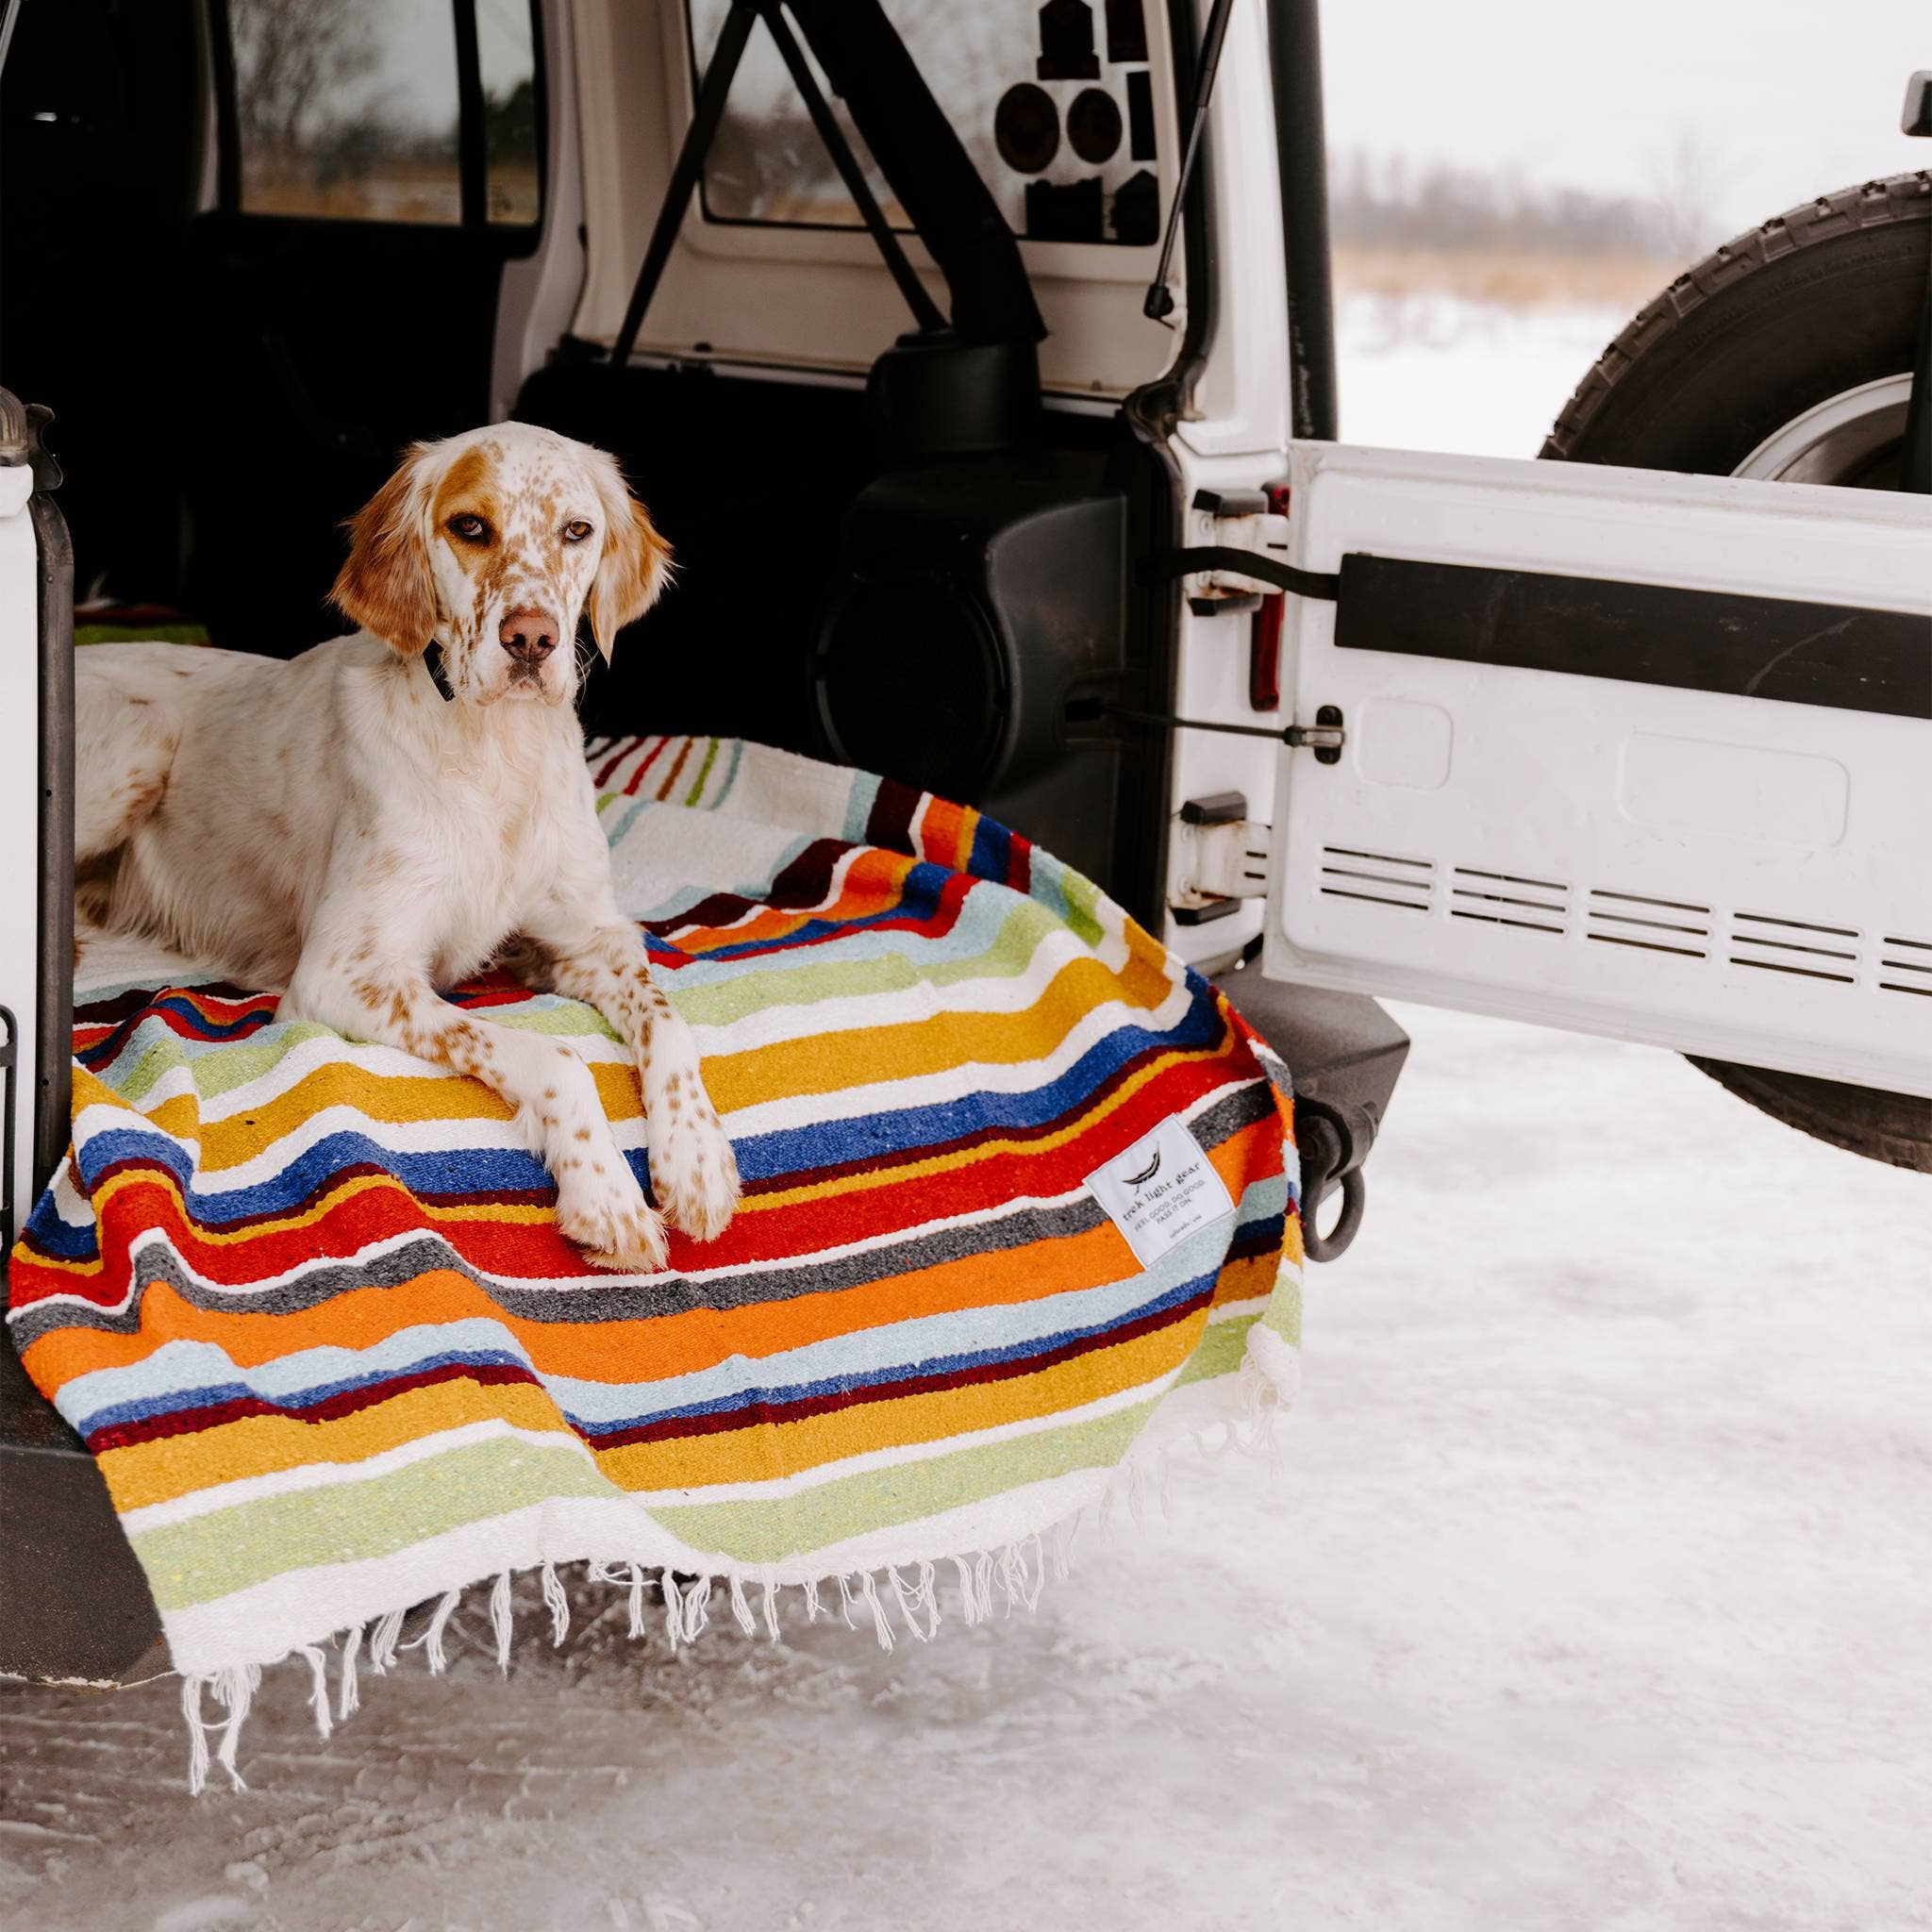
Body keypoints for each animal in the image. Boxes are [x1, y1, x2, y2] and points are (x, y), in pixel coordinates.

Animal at [75, 419, 738, 1267]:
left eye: (576, 531)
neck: (497, 755)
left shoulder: (589, 938)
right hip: (144, 735)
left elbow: (669, 1021)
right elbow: (552, 1056)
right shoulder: (345, 973)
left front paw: (697, 1159)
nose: (532, 640)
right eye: (471, 527)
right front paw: (607, 1196)